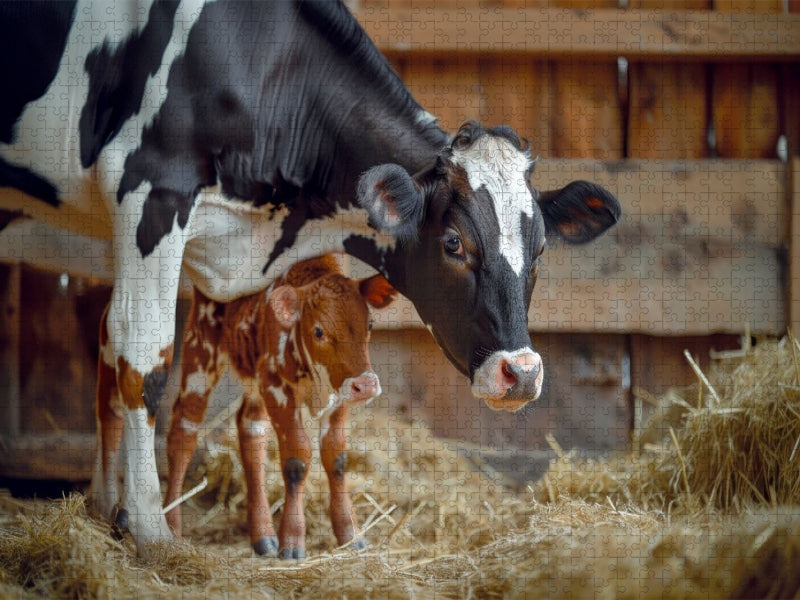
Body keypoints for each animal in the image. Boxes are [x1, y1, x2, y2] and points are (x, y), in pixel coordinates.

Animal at [0, 0, 621, 553]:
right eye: (453, 243)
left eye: (541, 249)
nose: (522, 373)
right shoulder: (150, 193)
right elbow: (141, 359)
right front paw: (150, 531)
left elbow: (111, 350)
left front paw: (109, 507)